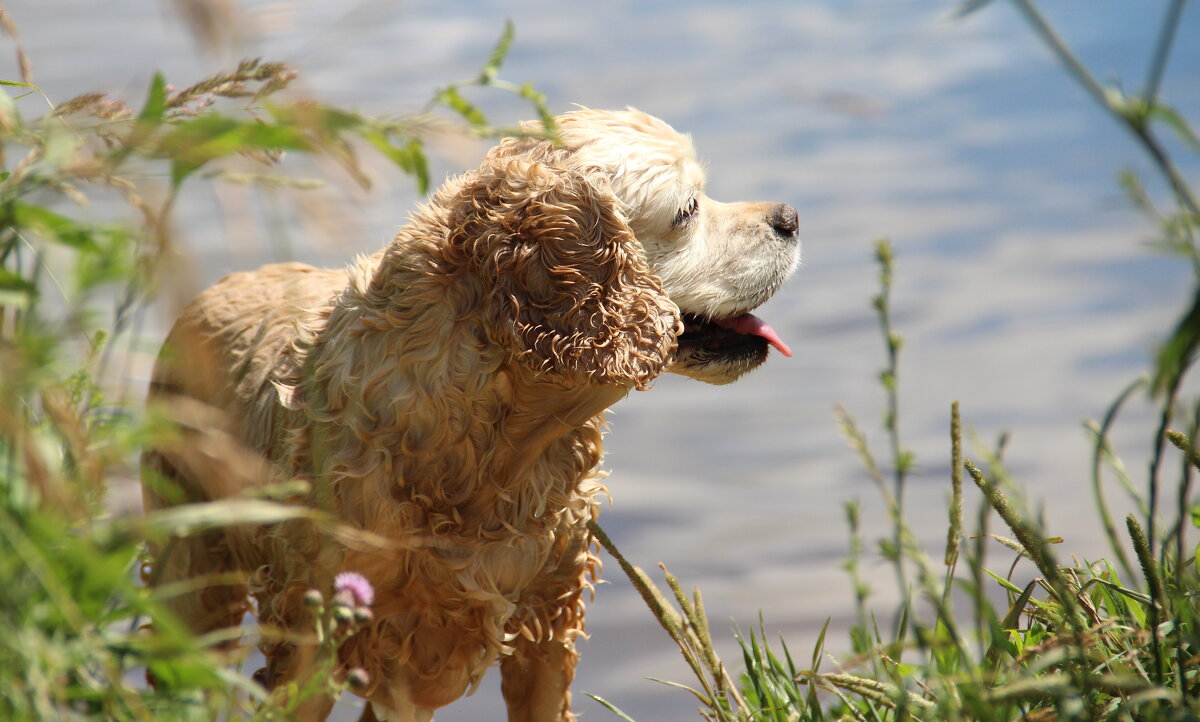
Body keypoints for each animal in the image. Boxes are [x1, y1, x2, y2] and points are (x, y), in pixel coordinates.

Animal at [140, 107, 796, 719]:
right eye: (688, 209)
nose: (790, 218)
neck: (488, 447)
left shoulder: (547, 620)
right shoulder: (315, 634)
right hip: (190, 581)